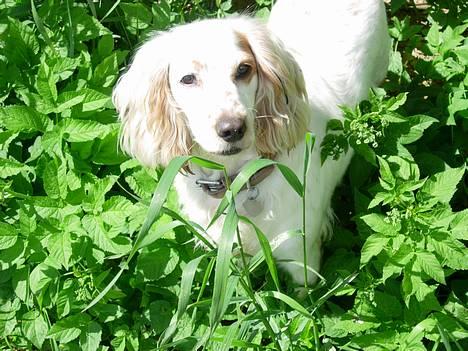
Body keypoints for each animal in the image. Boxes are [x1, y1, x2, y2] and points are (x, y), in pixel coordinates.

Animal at [112, 0, 388, 286]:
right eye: (188, 78)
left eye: (243, 69)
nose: (232, 129)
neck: (238, 180)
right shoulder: (226, 250)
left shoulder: (301, 256)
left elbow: (304, 295)